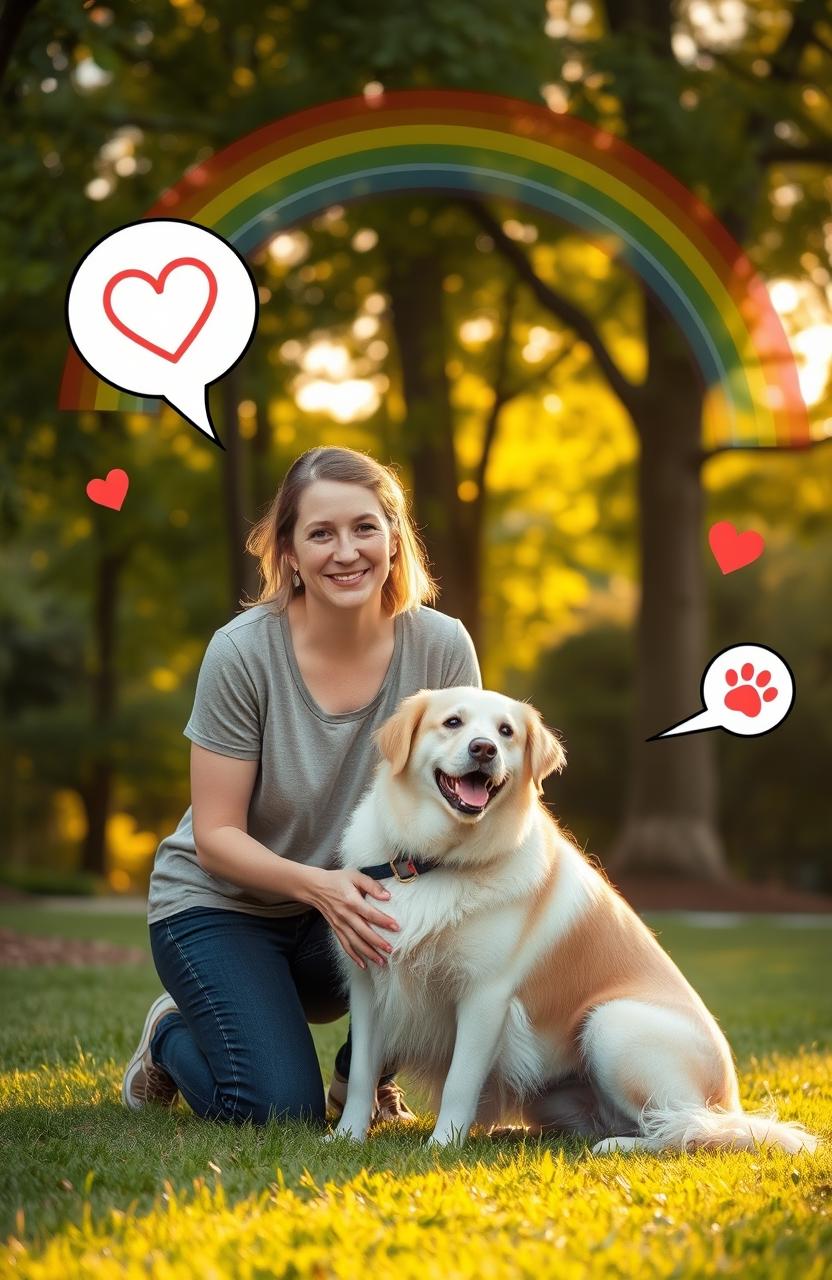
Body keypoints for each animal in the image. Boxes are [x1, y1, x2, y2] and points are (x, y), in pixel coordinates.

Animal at [325, 686, 814, 1157]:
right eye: (453, 722)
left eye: (506, 731)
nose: (484, 749)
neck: (433, 864)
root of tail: (730, 1103)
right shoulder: (368, 985)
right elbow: (362, 1072)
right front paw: (347, 1136)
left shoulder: (485, 996)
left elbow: (459, 1082)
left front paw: (443, 1145)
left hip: (612, 1023)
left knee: (682, 1128)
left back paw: (618, 1146)